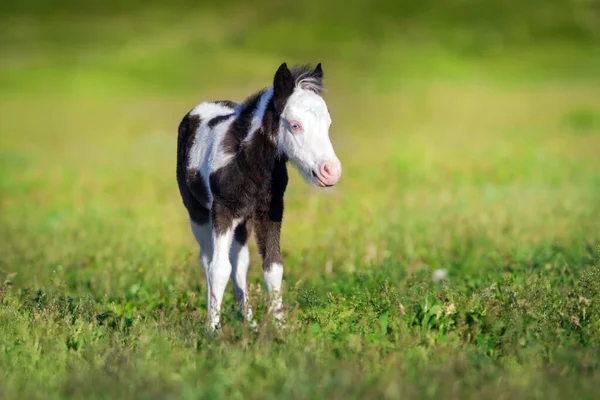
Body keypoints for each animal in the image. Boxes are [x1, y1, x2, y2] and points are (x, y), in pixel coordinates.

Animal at [177, 62, 342, 330]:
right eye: (294, 125)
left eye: (328, 124)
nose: (332, 171)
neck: (250, 165)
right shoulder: (222, 211)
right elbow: (218, 268)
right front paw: (212, 329)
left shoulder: (271, 211)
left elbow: (273, 266)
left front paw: (280, 325)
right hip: (197, 213)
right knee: (208, 259)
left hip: (243, 221)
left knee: (240, 263)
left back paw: (249, 321)